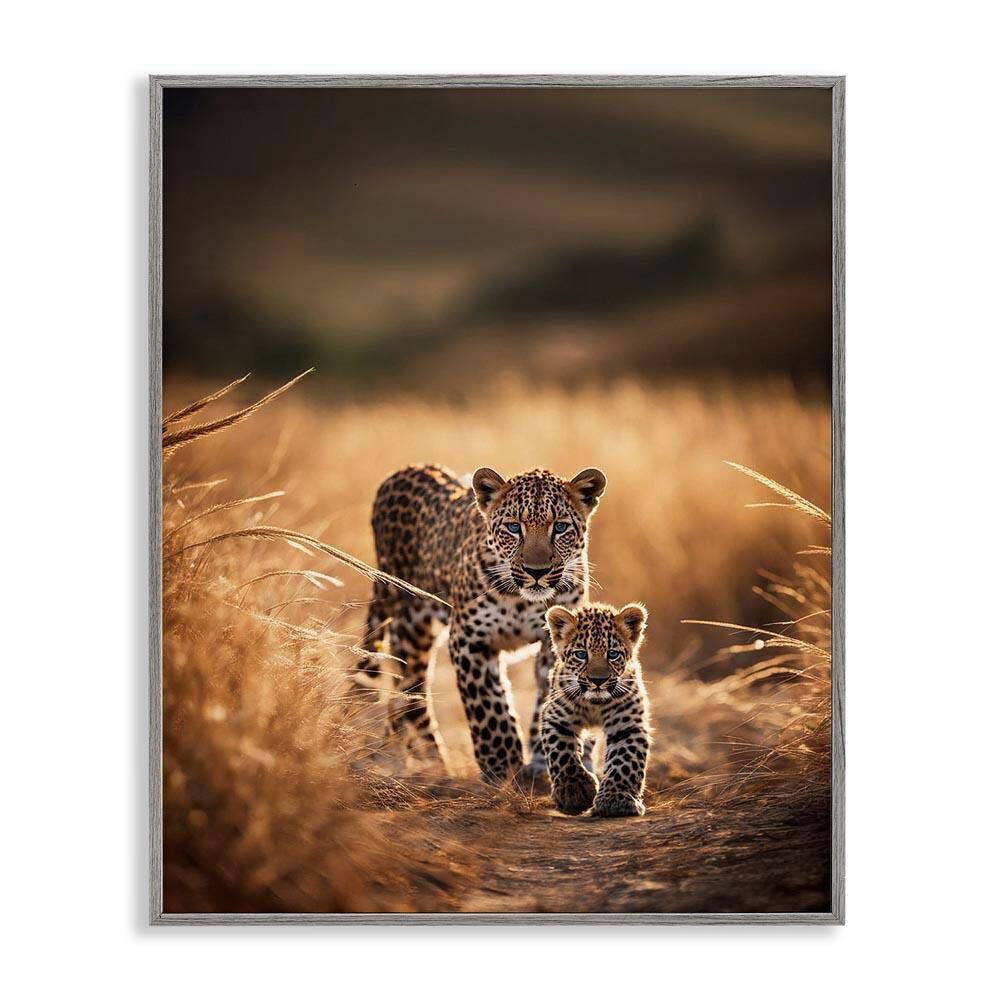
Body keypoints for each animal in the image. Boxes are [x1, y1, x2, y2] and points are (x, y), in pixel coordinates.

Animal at [355, 463, 607, 786]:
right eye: (514, 527)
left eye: (560, 527)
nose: (536, 571)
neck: (523, 601)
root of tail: (404, 470)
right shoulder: (470, 639)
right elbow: (488, 707)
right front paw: (503, 766)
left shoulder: (559, 644)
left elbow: (550, 701)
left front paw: (545, 764)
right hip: (408, 622)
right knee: (413, 691)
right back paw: (433, 763)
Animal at [540, 601, 651, 817]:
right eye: (581, 654)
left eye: (612, 654)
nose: (598, 680)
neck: (594, 705)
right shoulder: (555, 718)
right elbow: (561, 753)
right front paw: (575, 791)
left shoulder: (628, 726)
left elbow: (625, 760)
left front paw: (615, 801)